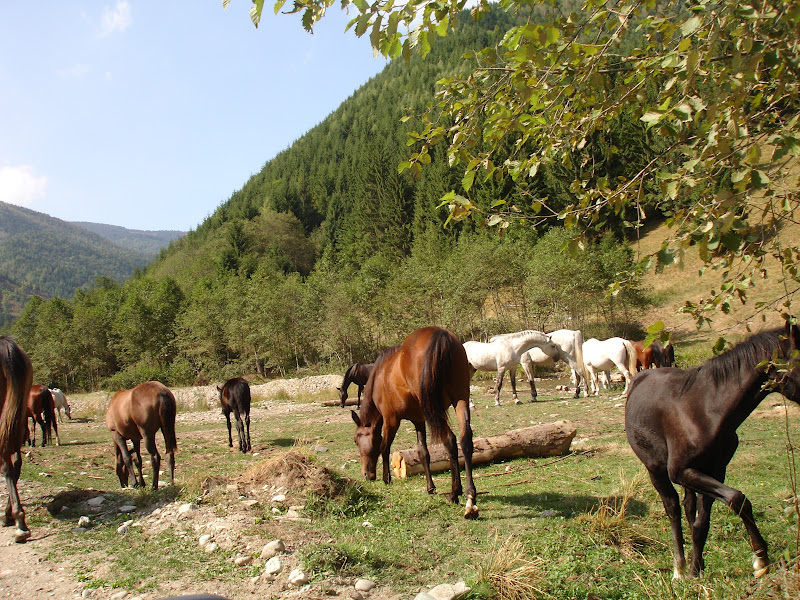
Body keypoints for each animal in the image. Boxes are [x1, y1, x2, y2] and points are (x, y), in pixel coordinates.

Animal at [348, 326, 476, 516]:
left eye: (356, 440)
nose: (366, 475)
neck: (380, 376)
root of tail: (440, 335)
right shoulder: (419, 420)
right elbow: (423, 453)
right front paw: (430, 487)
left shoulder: (391, 420)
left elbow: (384, 447)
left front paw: (387, 478)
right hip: (460, 399)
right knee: (465, 439)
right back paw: (470, 495)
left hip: (434, 410)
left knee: (450, 440)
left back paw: (455, 493)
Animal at [624, 324, 800, 580]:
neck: (707, 410)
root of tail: (640, 378)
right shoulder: (682, 472)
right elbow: (738, 499)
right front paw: (761, 559)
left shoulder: (715, 470)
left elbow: (703, 522)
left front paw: (698, 567)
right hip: (656, 471)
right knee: (673, 508)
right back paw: (679, 567)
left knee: (688, 506)